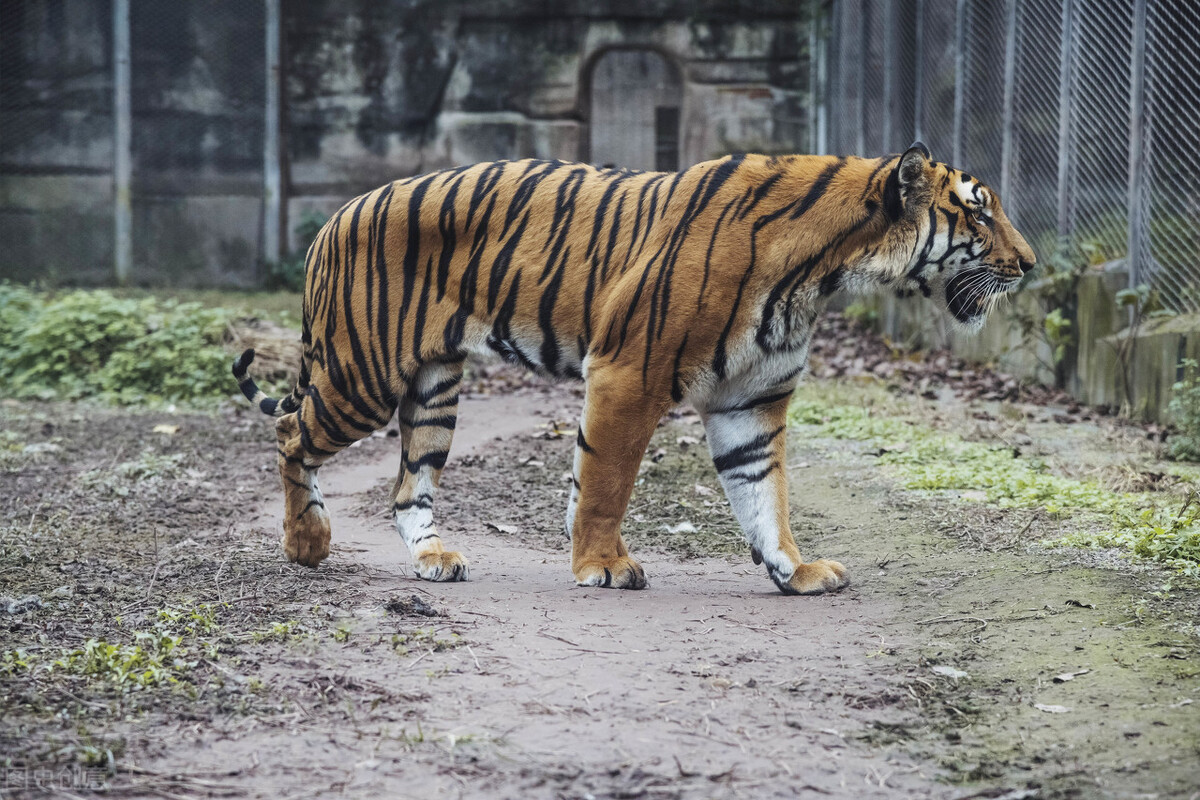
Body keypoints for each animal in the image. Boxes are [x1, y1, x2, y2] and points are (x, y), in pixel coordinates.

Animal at [231, 142, 1032, 594]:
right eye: (978, 212)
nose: (1029, 265)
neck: (826, 272)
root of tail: (331, 218)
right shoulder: (628, 373)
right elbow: (605, 483)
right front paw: (601, 566)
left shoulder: (751, 401)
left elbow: (764, 496)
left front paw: (795, 572)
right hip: (361, 374)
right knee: (290, 436)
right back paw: (307, 544)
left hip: (433, 389)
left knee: (407, 487)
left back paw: (434, 560)